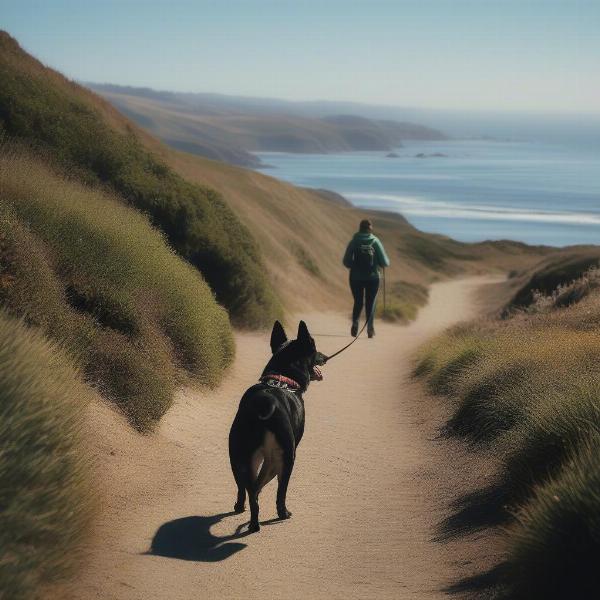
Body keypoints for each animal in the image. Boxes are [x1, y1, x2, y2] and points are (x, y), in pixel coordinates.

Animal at [229, 322, 324, 532]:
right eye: (315, 349)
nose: (325, 357)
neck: (283, 379)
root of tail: (263, 402)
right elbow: (279, 490)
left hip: (239, 457)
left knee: (247, 489)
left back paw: (246, 513)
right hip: (284, 458)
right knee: (274, 490)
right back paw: (277, 515)